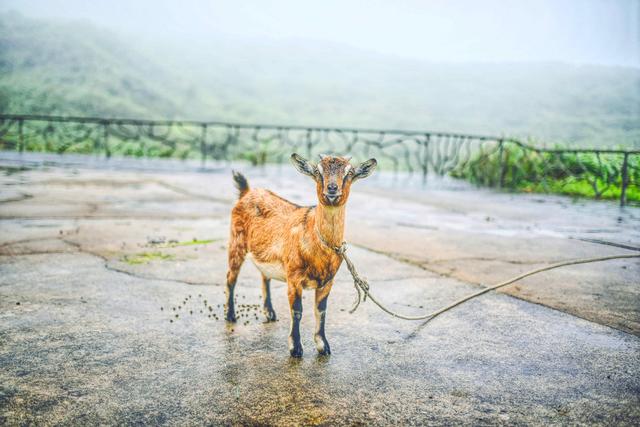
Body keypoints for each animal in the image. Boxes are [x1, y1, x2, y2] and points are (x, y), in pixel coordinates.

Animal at [225, 154, 378, 358]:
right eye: (318, 172)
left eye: (349, 173)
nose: (332, 188)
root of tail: (247, 192)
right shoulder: (293, 277)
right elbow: (297, 311)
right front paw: (296, 349)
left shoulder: (328, 281)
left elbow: (321, 311)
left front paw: (323, 346)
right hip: (236, 242)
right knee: (231, 277)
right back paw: (230, 316)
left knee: (264, 276)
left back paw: (270, 313)